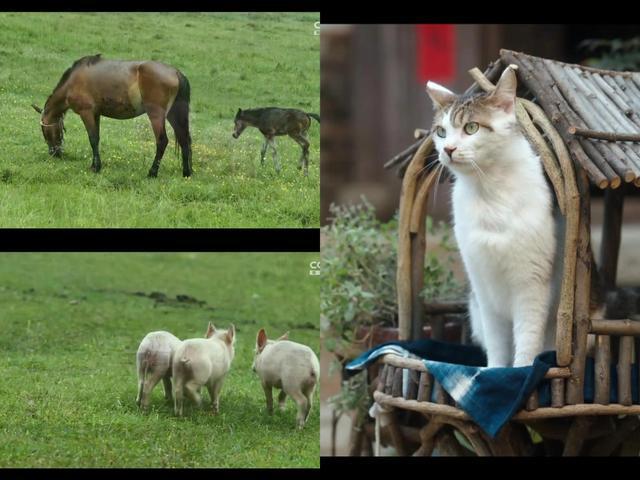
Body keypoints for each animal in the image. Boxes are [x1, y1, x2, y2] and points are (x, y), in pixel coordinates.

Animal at [31, 54, 192, 177]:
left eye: (44, 131)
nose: (54, 153)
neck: (72, 82)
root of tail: (175, 72)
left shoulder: (86, 113)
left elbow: (92, 139)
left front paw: (96, 167)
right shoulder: (96, 114)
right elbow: (96, 138)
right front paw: (94, 165)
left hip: (156, 115)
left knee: (162, 141)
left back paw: (152, 172)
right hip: (174, 114)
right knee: (184, 140)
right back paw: (186, 173)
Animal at [428, 66, 564, 368]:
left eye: (471, 128)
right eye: (441, 132)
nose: (448, 149)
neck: (488, 189)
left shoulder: (532, 285)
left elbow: (527, 342)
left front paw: (521, 371)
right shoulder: (483, 287)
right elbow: (497, 346)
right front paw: (494, 371)